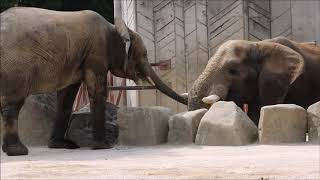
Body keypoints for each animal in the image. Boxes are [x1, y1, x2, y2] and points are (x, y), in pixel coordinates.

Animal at [0, 7, 186, 156]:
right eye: (144, 54)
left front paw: (63, 145)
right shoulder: (96, 52)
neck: (116, 28)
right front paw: (104, 147)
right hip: (16, 66)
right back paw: (18, 151)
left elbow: (67, 96)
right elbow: (97, 90)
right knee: (14, 104)